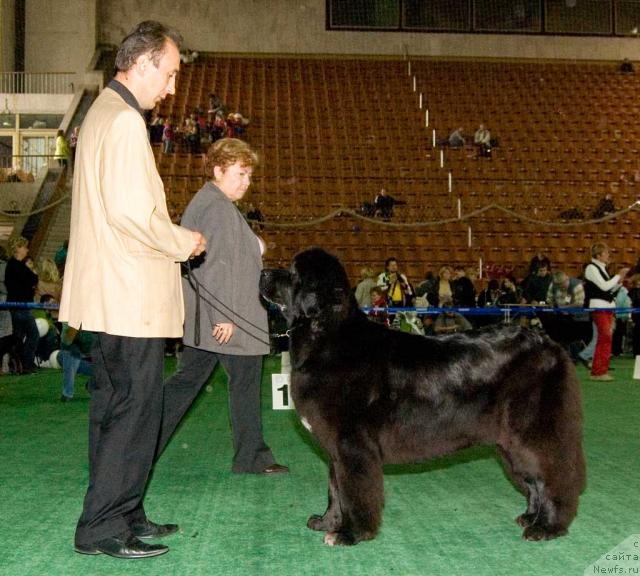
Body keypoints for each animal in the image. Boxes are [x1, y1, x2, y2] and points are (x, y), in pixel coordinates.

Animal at [258, 246, 584, 544]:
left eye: (293, 273)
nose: (262, 273)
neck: (326, 336)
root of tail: (550, 345)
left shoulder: (352, 445)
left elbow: (352, 491)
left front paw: (350, 533)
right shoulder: (335, 449)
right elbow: (334, 489)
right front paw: (326, 522)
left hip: (531, 431)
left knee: (551, 476)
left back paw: (546, 527)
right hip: (508, 443)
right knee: (533, 480)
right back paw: (530, 516)